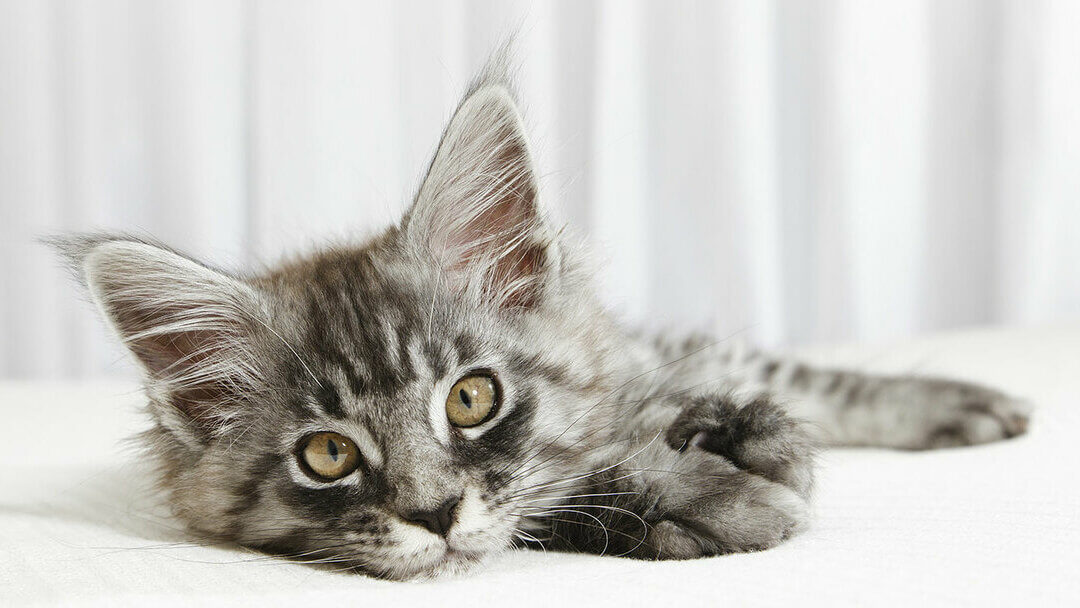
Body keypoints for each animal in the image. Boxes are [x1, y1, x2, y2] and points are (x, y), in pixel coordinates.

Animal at [56, 65, 1028, 578]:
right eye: (327, 455)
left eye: (471, 399)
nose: (432, 513)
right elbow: (572, 492)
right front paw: (715, 493)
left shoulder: (652, 348)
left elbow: (793, 378)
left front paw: (948, 405)